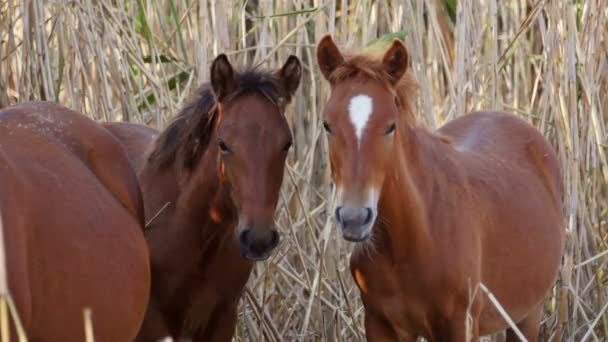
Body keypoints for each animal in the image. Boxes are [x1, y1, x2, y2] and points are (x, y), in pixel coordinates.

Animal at [316, 36, 564, 340]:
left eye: (390, 126)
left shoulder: (458, 325)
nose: (354, 219)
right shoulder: (380, 324)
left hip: (528, 315)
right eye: (327, 125)